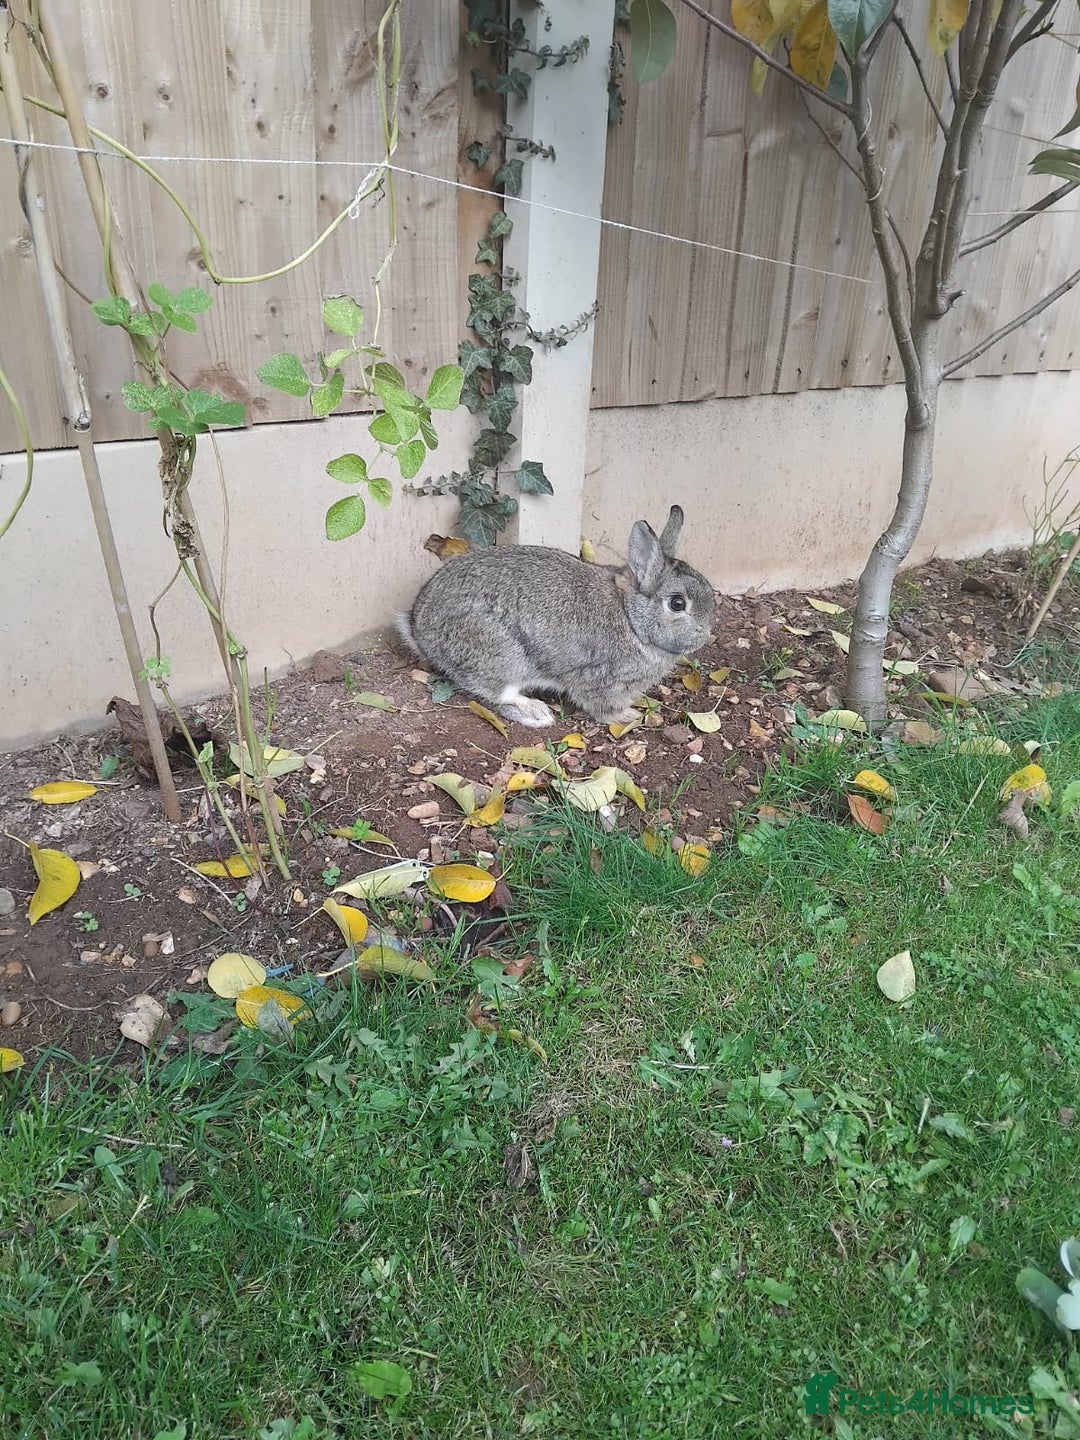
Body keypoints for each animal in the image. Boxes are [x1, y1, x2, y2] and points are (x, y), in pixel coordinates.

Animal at [396, 505, 716, 728]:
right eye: (677, 604)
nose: (706, 633)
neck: (631, 619)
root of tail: (420, 630)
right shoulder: (600, 680)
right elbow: (601, 706)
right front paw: (627, 716)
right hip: (502, 654)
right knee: (495, 693)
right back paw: (537, 713)